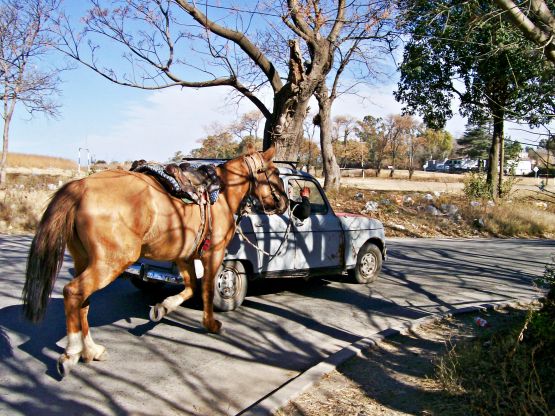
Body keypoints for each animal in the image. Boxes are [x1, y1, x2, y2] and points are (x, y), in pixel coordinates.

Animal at [21, 145, 286, 376]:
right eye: (275, 173)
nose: (284, 203)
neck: (222, 195)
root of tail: (79, 187)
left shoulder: (184, 257)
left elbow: (191, 288)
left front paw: (162, 308)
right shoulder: (214, 254)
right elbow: (208, 289)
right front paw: (211, 324)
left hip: (83, 260)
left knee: (83, 302)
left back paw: (91, 351)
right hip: (111, 262)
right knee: (73, 292)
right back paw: (72, 352)